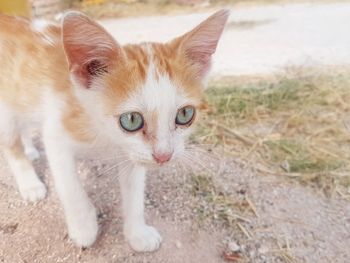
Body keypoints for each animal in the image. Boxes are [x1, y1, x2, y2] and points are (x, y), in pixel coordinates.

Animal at [0, 10, 230, 253]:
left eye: (185, 114)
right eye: (131, 120)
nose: (164, 156)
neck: (104, 135)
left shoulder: (133, 153)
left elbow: (134, 192)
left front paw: (137, 233)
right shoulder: (56, 131)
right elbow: (70, 187)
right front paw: (84, 227)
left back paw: (30, 150)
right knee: (11, 144)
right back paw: (30, 182)